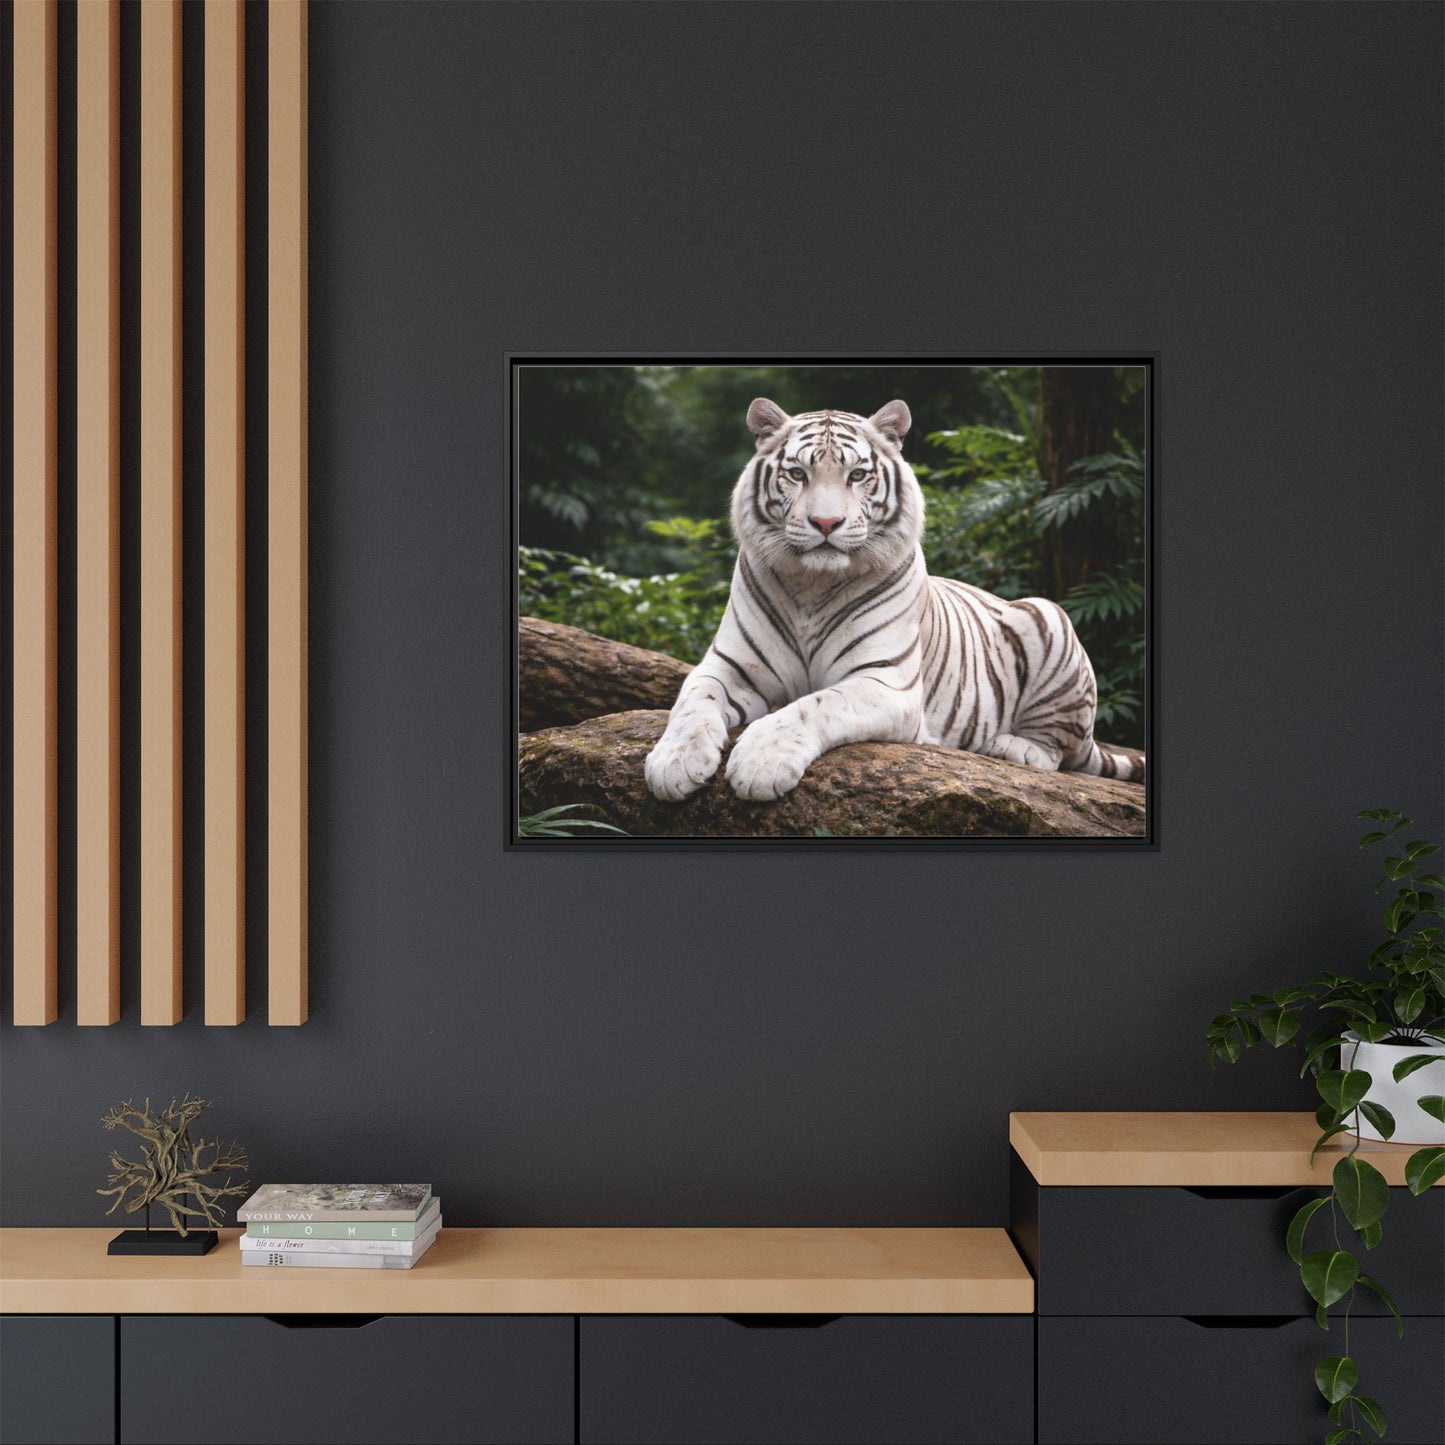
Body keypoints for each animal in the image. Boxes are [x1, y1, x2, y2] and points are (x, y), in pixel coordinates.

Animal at [643, 397, 1145, 803]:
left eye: (857, 475)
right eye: (798, 474)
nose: (826, 523)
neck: (812, 587)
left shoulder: (884, 681)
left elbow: (813, 705)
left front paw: (760, 763)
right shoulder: (728, 665)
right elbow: (692, 701)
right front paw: (672, 763)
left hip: (1048, 616)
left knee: (1060, 751)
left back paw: (1011, 747)